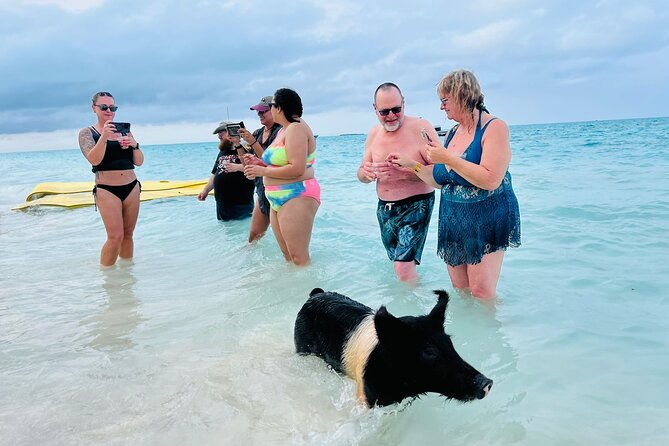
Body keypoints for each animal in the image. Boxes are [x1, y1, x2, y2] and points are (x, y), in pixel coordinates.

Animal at [294, 288, 493, 407]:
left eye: (450, 343)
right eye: (429, 352)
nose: (487, 382)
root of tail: (315, 294)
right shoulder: (365, 397)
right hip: (301, 344)